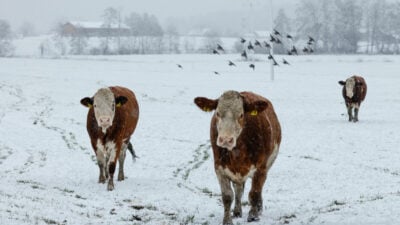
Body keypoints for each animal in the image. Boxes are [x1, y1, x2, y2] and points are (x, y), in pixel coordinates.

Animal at [194, 90, 282, 224]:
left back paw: (259, 208)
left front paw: (253, 215)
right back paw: (237, 211)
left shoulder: (261, 168)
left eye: (241, 115)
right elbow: (227, 196)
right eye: (217, 113)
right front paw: (227, 220)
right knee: (239, 189)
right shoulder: (219, 168)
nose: (226, 140)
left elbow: (254, 193)